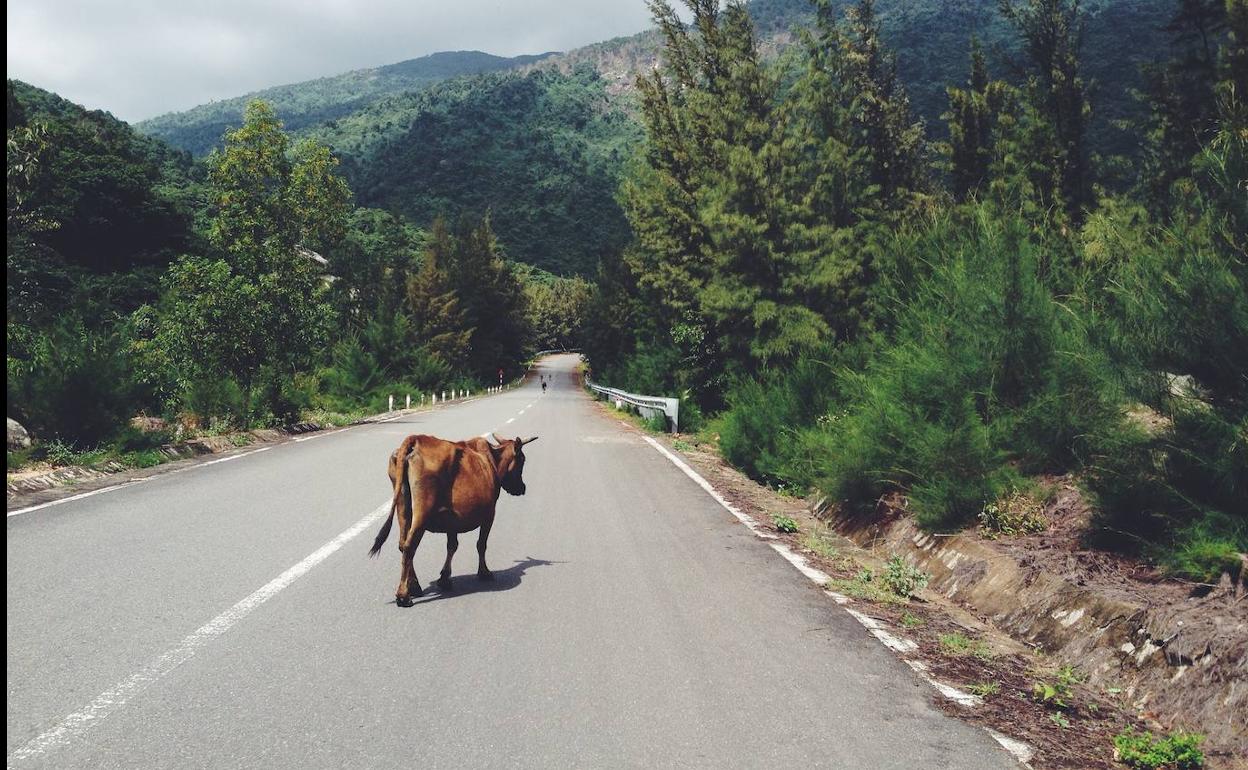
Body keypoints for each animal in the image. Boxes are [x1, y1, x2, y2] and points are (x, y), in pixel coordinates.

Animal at [364, 431, 531, 606]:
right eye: (522, 460)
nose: (522, 488)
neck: (492, 461)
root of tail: (416, 439)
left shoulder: (452, 520)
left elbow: (452, 545)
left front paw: (444, 578)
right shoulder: (489, 514)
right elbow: (481, 544)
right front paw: (484, 572)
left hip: (403, 506)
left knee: (403, 544)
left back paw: (414, 586)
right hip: (422, 511)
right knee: (410, 546)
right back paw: (403, 595)